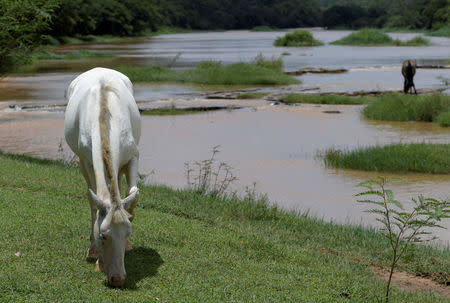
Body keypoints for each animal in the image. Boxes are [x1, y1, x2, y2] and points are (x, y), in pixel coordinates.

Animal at [63, 67, 141, 288]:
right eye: (103, 236)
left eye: (128, 232)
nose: (118, 279)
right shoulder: (87, 161)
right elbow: (95, 200)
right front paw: (96, 255)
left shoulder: (133, 155)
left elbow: (132, 192)